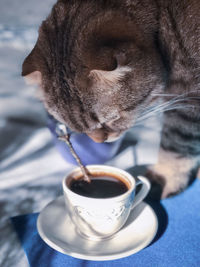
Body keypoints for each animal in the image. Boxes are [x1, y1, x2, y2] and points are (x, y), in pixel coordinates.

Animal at [21, 0, 200, 200]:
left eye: (112, 119)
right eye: (75, 128)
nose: (99, 142)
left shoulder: (188, 96)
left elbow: (177, 139)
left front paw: (165, 176)